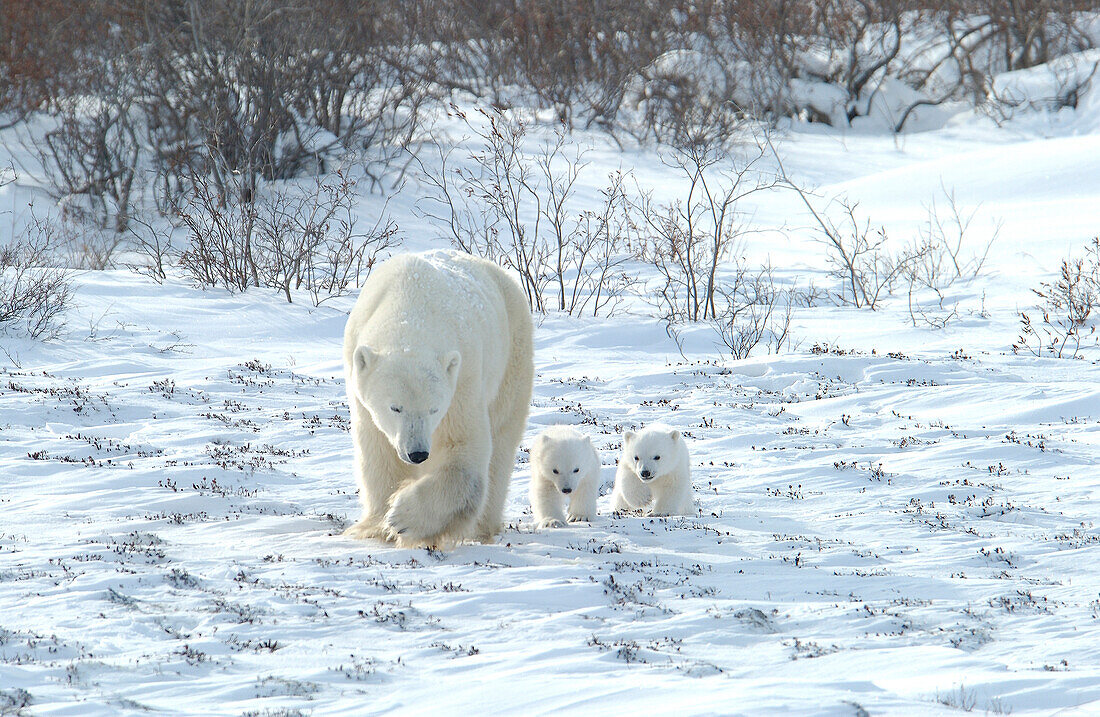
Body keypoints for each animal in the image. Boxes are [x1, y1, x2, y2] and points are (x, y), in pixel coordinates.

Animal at [343, 249, 532, 545]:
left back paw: (484, 527)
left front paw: (403, 518)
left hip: (512, 351)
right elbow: (378, 451)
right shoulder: (359, 386)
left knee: (501, 438)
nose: (418, 453)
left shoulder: (462, 379)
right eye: (395, 408)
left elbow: (462, 450)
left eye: (434, 409)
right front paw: (375, 525)